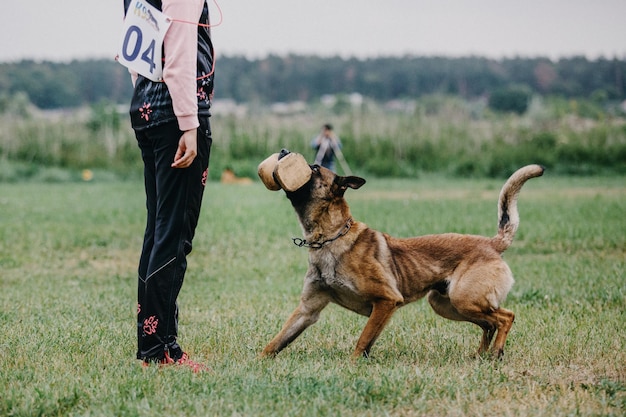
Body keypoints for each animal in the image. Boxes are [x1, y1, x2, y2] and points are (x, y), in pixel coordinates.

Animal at [258, 161, 540, 360]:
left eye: (315, 168)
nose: (283, 151)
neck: (330, 237)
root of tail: (492, 243)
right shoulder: (308, 310)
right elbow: (277, 340)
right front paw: (258, 362)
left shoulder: (386, 301)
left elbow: (363, 339)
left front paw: (352, 364)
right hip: (446, 304)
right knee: (489, 324)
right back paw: (480, 356)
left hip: (464, 299)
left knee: (506, 317)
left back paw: (496, 354)